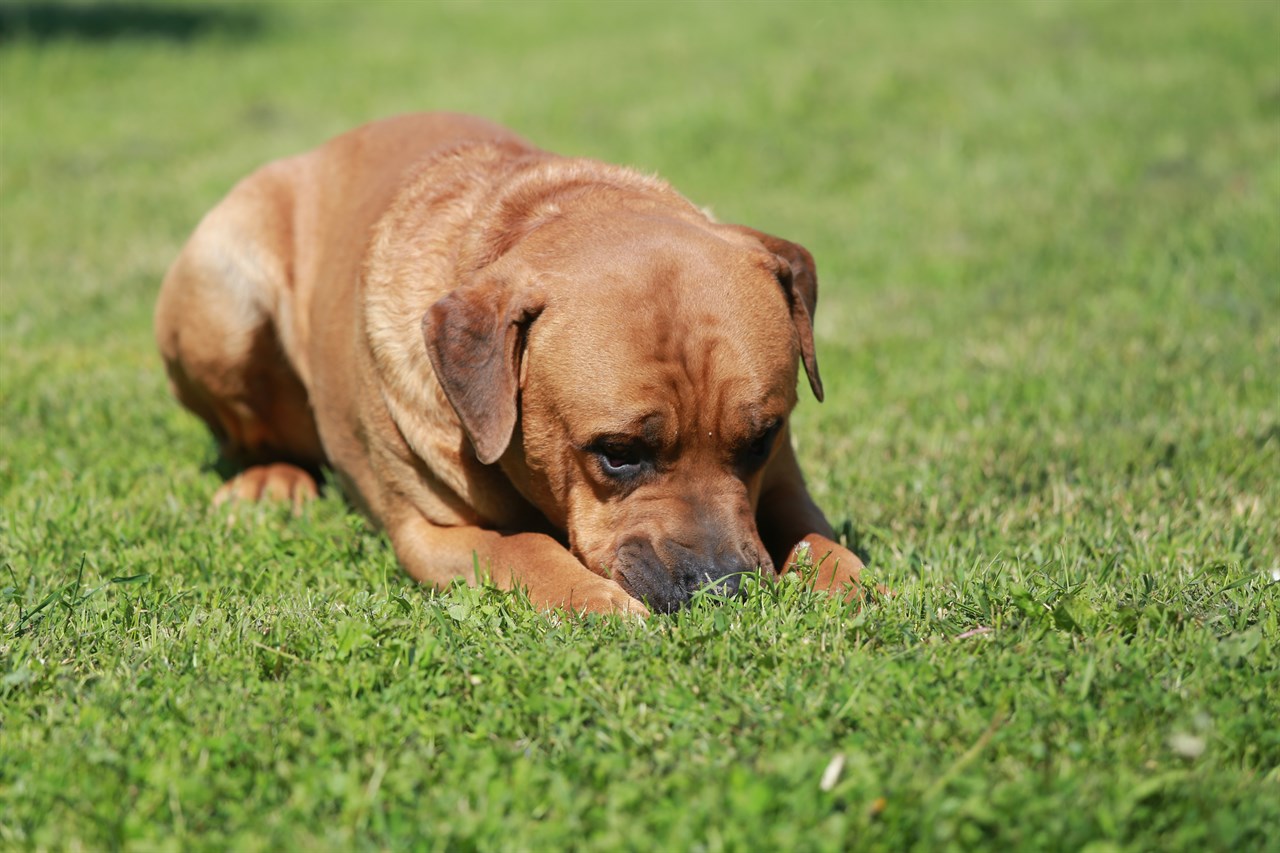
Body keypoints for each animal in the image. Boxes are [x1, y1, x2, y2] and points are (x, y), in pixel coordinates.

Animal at [154, 112, 865, 614]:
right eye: (617, 453)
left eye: (762, 439)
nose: (724, 589)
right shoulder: (431, 532)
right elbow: (523, 550)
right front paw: (594, 599)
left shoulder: (783, 479)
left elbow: (816, 536)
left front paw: (851, 582)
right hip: (222, 292)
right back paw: (270, 477)